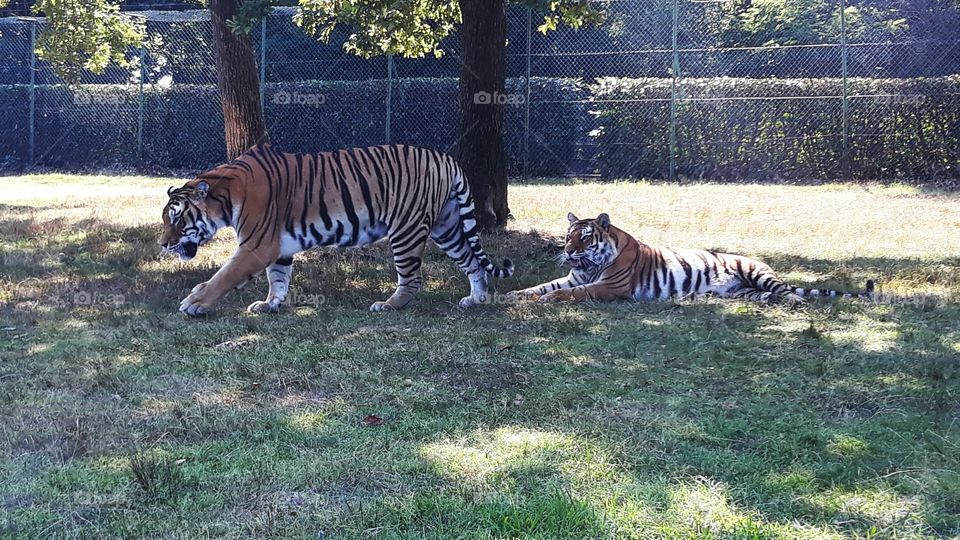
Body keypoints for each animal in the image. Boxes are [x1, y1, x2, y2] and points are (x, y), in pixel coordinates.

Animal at [158, 143, 513, 316]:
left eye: (176, 219)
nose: (162, 244)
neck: (225, 195)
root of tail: (445, 158)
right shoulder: (278, 247)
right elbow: (278, 279)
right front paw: (270, 305)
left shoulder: (257, 245)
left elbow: (224, 276)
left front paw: (195, 303)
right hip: (447, 226)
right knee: (471, 261)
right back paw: (475, 299)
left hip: (407, 229)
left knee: (412, 278)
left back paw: (389, 305)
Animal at [512, 212, 873, 305]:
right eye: (567, 236)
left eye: (585, 237)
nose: (568, 251)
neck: (589, 266)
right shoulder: (572, 275)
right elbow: (544, 285)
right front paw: (516, 294)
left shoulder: (610, 287)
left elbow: (572, 292)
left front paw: (549, 300)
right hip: (746, 291)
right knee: (768, 296)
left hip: (757, 273)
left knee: (789, 291)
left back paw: (794, 302)